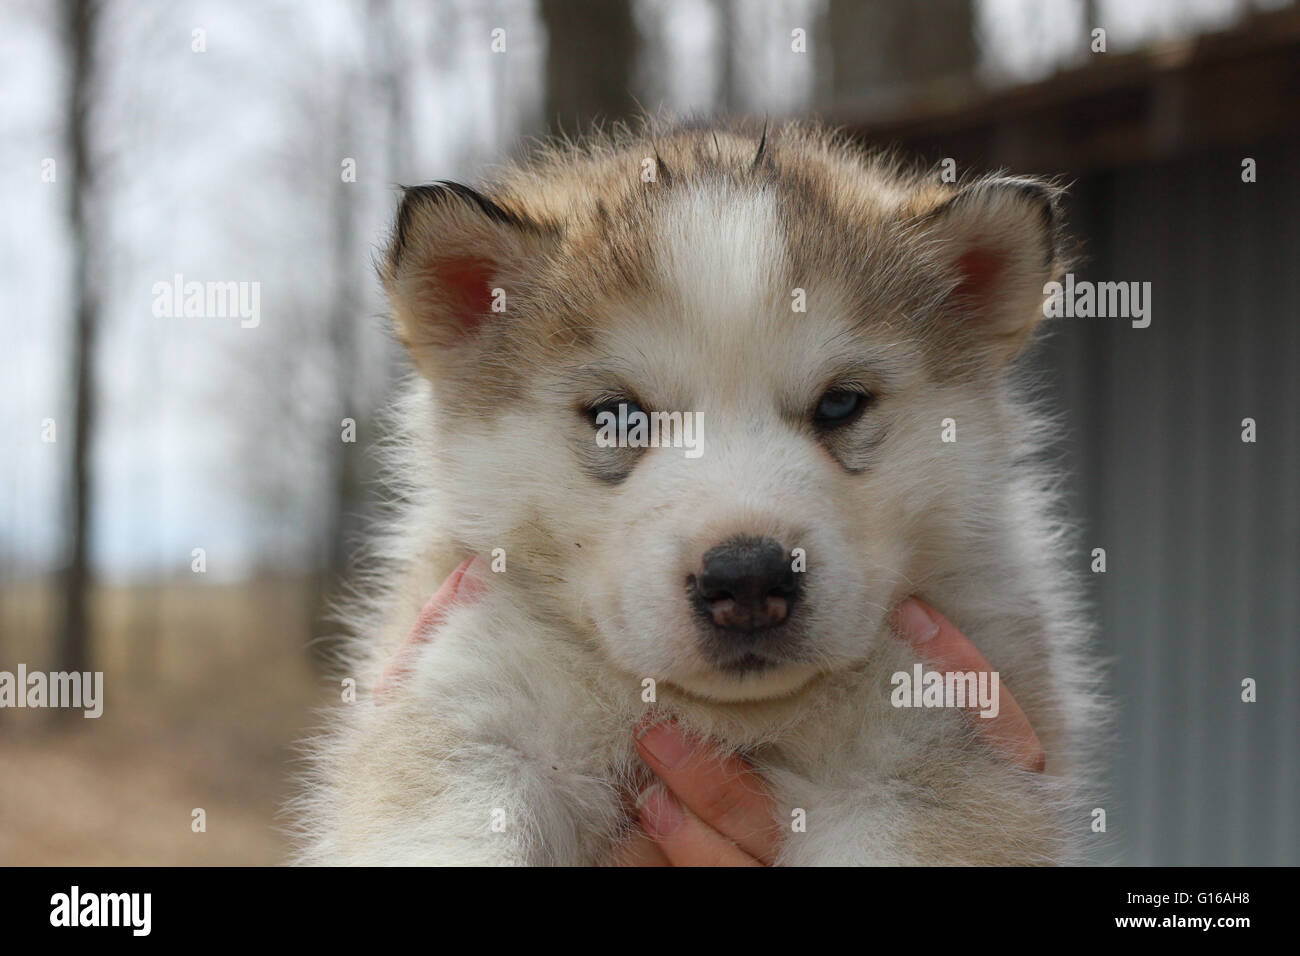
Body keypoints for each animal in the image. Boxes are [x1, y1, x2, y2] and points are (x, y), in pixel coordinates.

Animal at [295, 119, 1097, 868]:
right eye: (619, 416)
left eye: (840, 405)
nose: (748, 578)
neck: (723, 719)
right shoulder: (474, 712)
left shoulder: (931, 746)